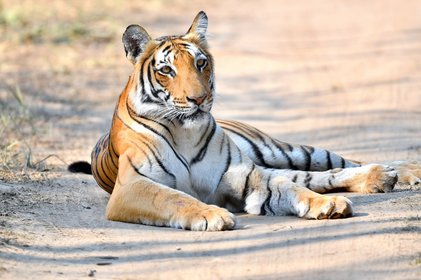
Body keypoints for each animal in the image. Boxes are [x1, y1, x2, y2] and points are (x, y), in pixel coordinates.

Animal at [69, 10, 420, 231]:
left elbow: (292, 189)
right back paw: (382, 178)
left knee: (333, 165)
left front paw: (326, 205)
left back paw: (398, 172)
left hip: (279, 151)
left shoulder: (247, 176)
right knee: (316, 175)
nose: (198, 99)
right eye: (166, 70)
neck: (184, 132)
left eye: (200, 63)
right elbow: (175, 197)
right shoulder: (133, 186)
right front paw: (212, 215)